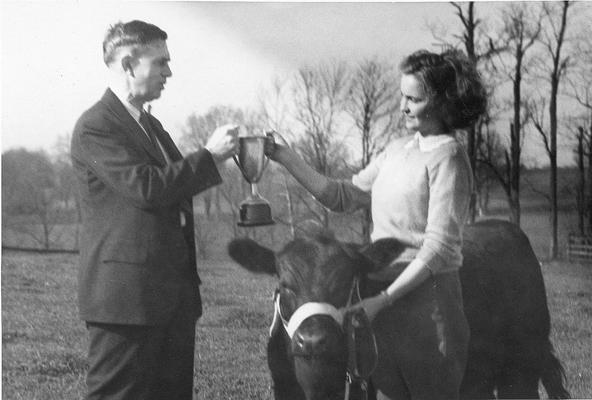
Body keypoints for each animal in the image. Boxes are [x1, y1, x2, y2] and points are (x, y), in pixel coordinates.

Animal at [228, 219, 568, 400]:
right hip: (478, 374)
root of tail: (502, 225)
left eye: (348, 283)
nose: (313, 340)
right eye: (284, 285)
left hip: (522, 363)